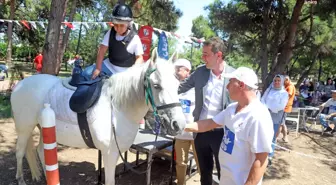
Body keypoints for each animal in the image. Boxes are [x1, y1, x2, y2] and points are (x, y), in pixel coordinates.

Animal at [11, 48, 186, 185]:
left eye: (178, 85)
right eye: (156, 85)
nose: (179, 124)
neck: (117, 108)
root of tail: (19, 84)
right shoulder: (109, 154)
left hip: (44, 129)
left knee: (41, 151)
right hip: (25, 128)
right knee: (19, 152)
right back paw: (20, 179)